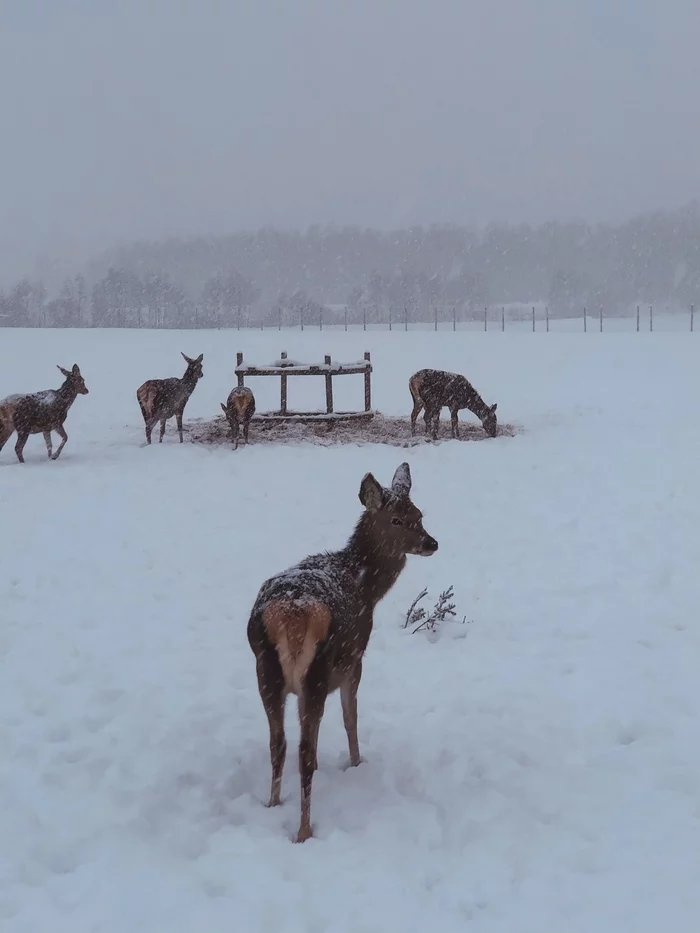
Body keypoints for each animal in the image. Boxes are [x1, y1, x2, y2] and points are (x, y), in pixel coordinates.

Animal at [243, 462, 434, 840]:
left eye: (419, 515)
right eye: (396, 520)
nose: (431, 542)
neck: (367, 588)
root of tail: (291, 614)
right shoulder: (355, 658)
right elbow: (350, 718)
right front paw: (356, 763)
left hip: (265, 671)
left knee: (278, 743)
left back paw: (273, 805)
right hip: (316, 673)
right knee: (303, 752)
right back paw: (304, 831)